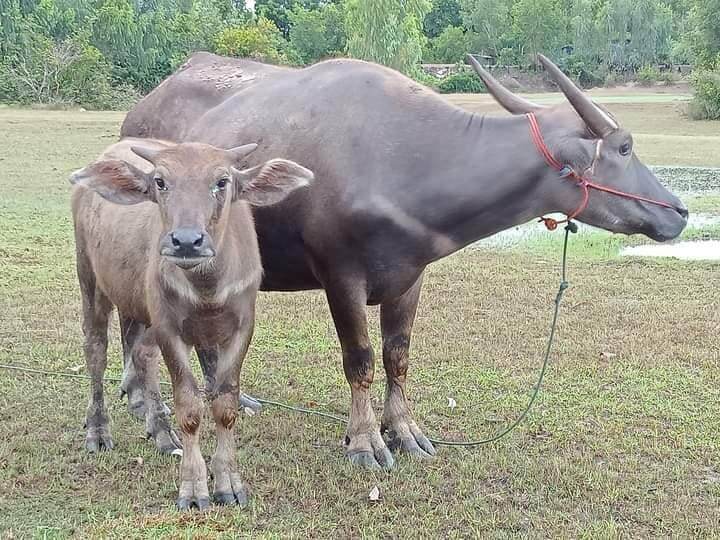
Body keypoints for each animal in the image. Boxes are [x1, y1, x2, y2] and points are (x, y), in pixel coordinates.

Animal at [121, 52, 688, 470]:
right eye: (625, 146)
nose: (679, 211)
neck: (402, 157)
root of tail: (136, 116)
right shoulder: (340, 276)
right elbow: (361, 359)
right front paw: (365, 441)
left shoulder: (410, 276)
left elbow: (398, 355)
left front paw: (405, 431)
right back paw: (150, 412)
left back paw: (231, 397)